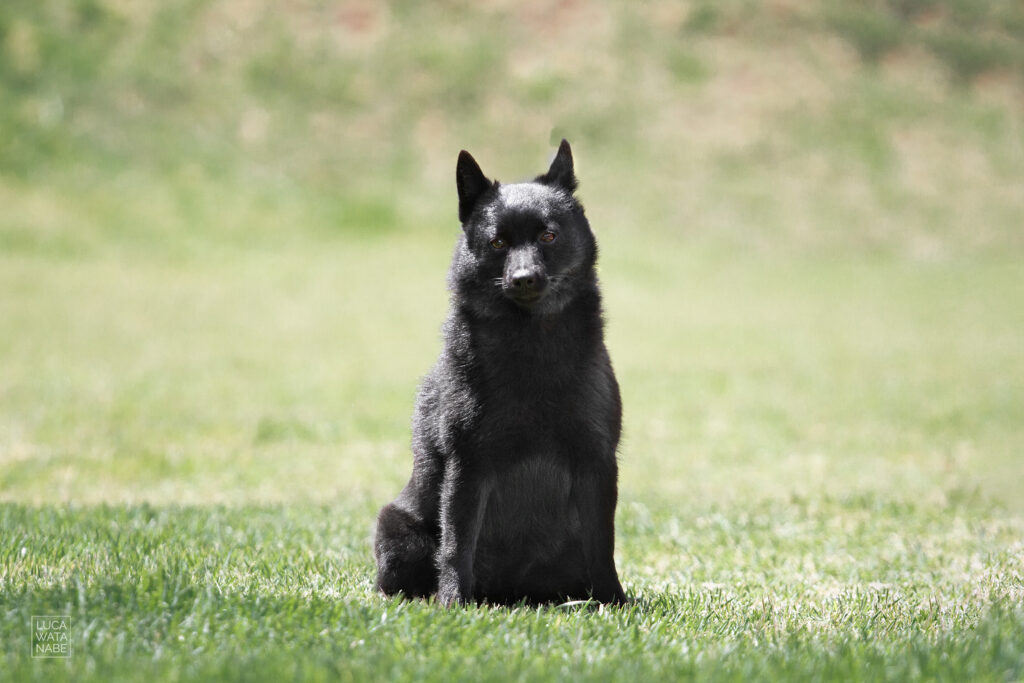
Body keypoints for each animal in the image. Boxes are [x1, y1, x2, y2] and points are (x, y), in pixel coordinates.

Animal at [372, 139, 618, 602]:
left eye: (548, 235)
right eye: (498, 242)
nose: (523, 278)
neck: (531, 349)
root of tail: (508, 593)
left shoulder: (596, 460)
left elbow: (604, 543)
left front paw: (616, 602)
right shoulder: (468, 462)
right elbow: (456, 543)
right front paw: (453, 601)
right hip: (395, 532)